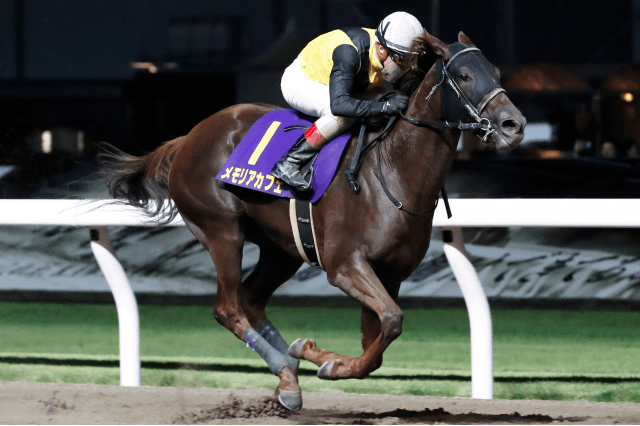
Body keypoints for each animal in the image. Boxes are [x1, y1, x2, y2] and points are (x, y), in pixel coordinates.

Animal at [100, 31, 526, 411]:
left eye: (495, 72)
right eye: (465, 75)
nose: (514, 125)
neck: (391, 172)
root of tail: (187, 138)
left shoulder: (390, 274)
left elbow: (377, 343)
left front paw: (318, 356)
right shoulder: (345, 265)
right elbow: (391, 321)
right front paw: (325, 362)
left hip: (281, 249)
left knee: (252, 300)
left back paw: (288, 371)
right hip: (221, 230)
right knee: (229, 308)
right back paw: (285, 373)